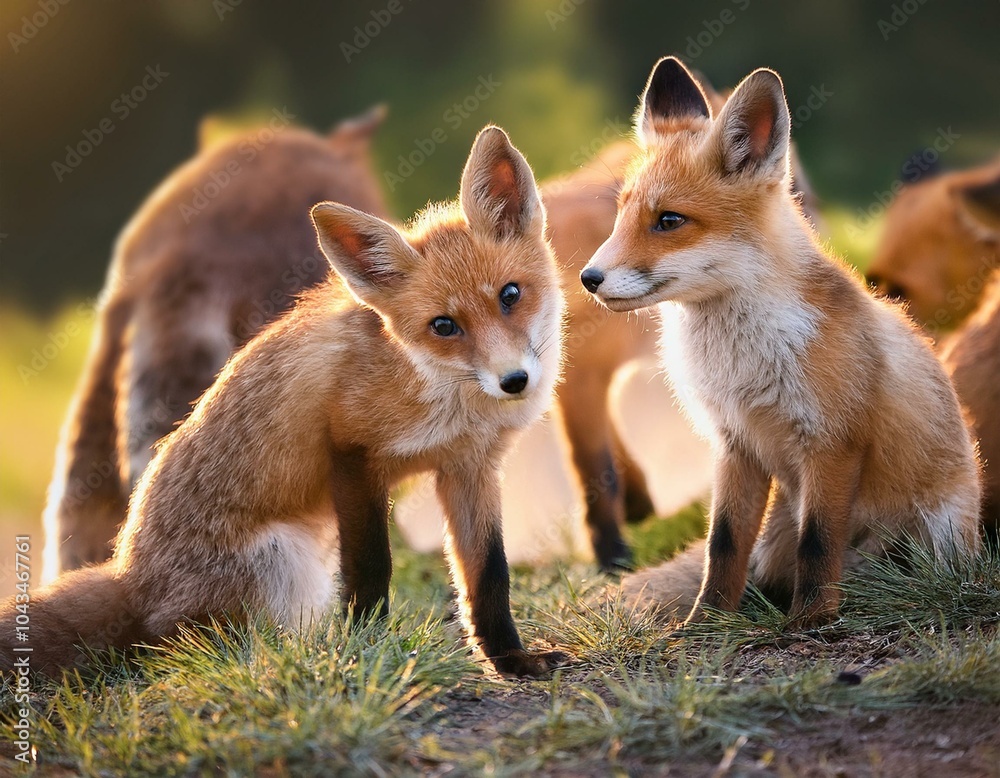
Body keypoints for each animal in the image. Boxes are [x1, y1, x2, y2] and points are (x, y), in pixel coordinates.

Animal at [580, 57, 981, 626]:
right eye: (621, 215)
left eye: (669, 221)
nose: (588, 278)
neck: (740, 360)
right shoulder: (734, 443)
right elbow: (723, 545)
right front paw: (706, 624)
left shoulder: (833, 442)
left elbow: (819, 542)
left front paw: (811, 621)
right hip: (775, 538)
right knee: (761, 571)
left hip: (938, 531)